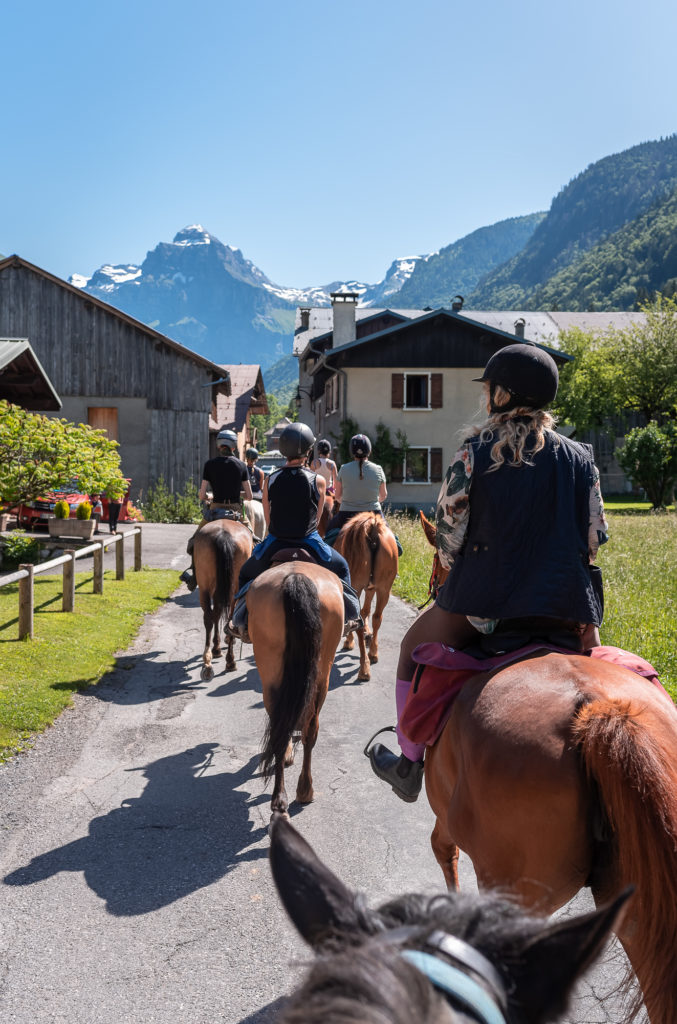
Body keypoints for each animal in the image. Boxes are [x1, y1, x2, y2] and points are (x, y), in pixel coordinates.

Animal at [191, 520, 251, 679]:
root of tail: (223, 535)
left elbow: (215, 615)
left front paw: (216, 648)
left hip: (205, 586)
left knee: (209, 618)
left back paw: (207, 662)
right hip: (234, 589)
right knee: (227, 618)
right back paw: (230, 661)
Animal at [245, 561, 344, 815]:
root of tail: (296, 577)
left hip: (270, 676)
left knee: (280, 728)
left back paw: (282, 796)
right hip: (321, 674)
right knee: (309, 728)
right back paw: (303, 790)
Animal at [333, 512, 399, 679]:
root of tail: (372, 526)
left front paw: (351, 641)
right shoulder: (372, 588)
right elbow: (367, 611)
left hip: (355, 587)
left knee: (358, 619)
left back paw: (364, 667)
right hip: (384, 588)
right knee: (377, 617)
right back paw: (373, 653)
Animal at [417, 507, 675, 1019]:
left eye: (440, 566)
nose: (432, 592)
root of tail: (598, 710)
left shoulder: (444, 812)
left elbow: (442, 848)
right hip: (640, 911)